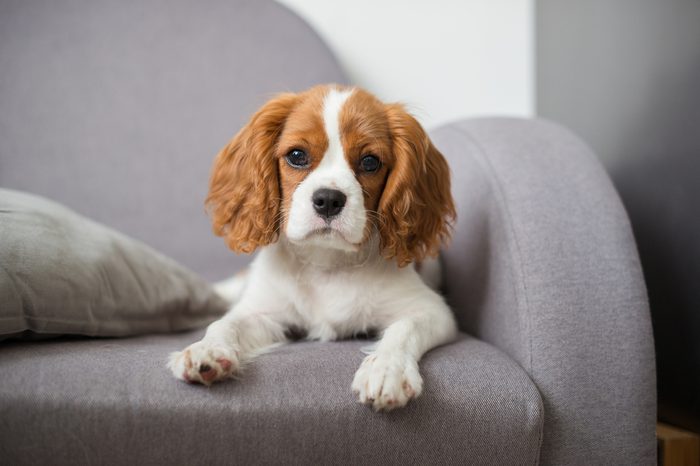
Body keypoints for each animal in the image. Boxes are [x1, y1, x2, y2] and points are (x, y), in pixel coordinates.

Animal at [167, 84, 456, 412]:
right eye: (297, 155)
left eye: (370, 162)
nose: (329, 199)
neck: (326, 262)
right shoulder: (261, 311)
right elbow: (226, 324)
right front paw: (207, 350)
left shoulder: (432, 310)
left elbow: (403, 331)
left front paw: (387, 370)